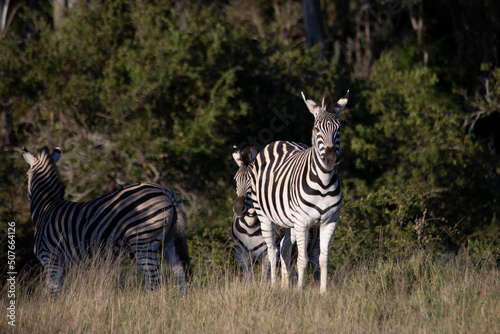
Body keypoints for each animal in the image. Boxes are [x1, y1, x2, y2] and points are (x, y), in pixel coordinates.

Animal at [21, 146, 190, 294]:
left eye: (27, 174)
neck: (46, 205)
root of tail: (165, 191)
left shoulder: (51, 258)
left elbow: (54, 294)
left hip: (143, 241)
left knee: (155, 283)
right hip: (169, 239)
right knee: (180, 274)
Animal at [231, 145, 318, 284]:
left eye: (253, 181)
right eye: (236, 179)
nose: (238, 208)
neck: (250, 226)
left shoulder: (265, 256)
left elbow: (264, 278)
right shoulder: (241, 255)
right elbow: (249, 280)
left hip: (315, 248)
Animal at [249, 89, 348, 292]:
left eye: (339, 128)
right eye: (317, 129)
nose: (330, 159)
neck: (324, 183)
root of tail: (280, 141)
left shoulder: (330, 221)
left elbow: (323, 259)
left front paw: (323, 292)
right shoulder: (302, 222)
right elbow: (302, 259)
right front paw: (300, 291)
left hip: (289, 221)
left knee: (285, 248)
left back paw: (285, 286)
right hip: (265, 215)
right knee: (272, 252)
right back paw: (273, 285)